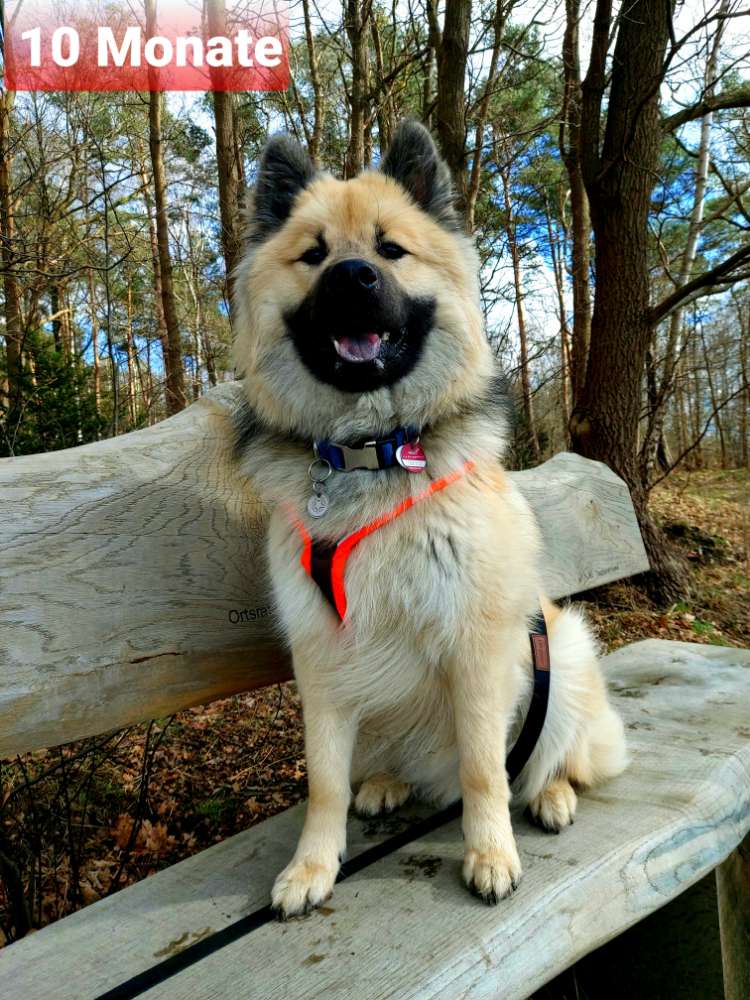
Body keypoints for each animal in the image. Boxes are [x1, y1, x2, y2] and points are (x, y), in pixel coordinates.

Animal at [231, 121, 628, 916]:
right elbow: (325, 780)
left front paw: (491, 853)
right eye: (314, 254)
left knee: (550, 759)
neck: (372, 453)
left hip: (561, 654)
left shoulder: (477, 648)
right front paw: (311, 866)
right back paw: (388, 783)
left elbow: (484, 767)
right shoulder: (321, 658)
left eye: (390, 250)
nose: (352, 278)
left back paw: (552, 796)